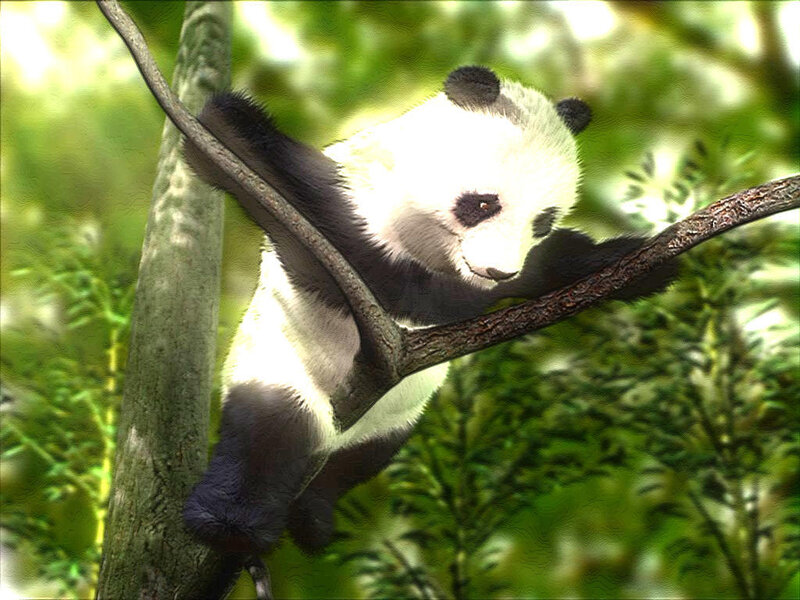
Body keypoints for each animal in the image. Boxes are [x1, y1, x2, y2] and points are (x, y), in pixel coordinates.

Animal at [182, 66, 675, 555]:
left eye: (542, 221)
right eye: (483, 203)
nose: (498, 272)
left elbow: (551, 261)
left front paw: (641, 265)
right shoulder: (354, 196)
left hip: (395, 422)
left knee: (359, 463)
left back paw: (314, 516)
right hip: (278, 366)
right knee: (267, 434)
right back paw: (231, 523)